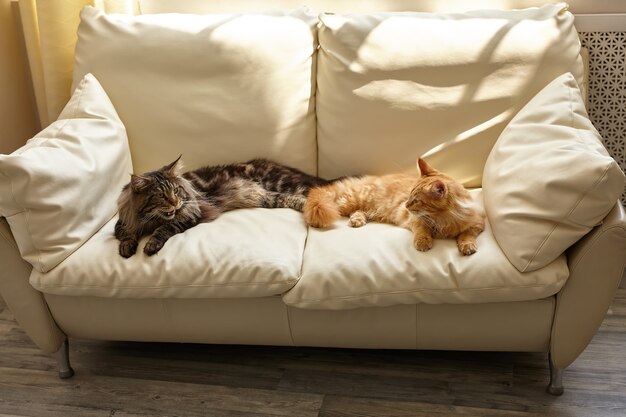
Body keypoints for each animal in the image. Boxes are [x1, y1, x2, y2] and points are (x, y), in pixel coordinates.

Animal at [114, 157, 330, 256]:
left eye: (176, 191)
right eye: (160, 195)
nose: (176, 202)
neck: (150, 218)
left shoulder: (190, 213)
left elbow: (164, 228)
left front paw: (151, 244)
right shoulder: (123, 221)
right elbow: (125, 233)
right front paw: (126, 246)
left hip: (283, 184)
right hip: (267, 196)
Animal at [302, 158, 482, 254]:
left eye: (417, 201)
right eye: (409, 196)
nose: (406, 205)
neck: (443, 219)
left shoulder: (478, 222)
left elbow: (467, 234)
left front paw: (467, 245)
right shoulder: (415, 220)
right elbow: (422, 230)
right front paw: (424, 242)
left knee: (359, 211)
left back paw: (357, 220)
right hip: (347, 201)